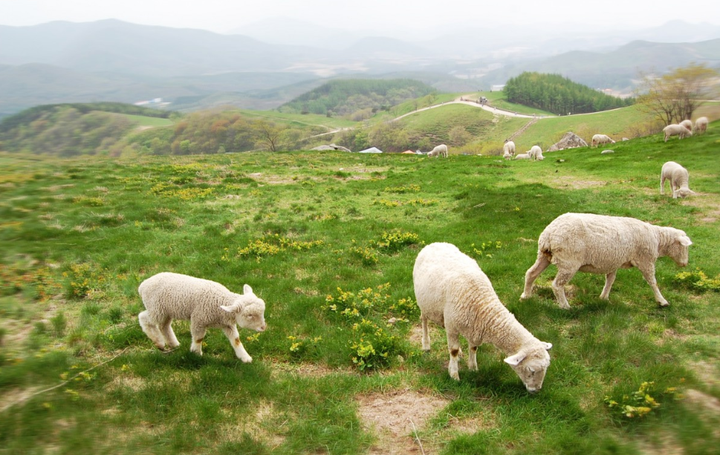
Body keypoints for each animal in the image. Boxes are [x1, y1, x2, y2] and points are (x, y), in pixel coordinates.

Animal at [138, 270, 268, 364]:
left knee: (164, 326)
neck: (220, 303)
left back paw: (173, 344)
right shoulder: (199, 319)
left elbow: (236, 340)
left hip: (166, 311)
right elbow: (198, 338)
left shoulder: (227, 325)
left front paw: (245, 357)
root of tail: (143, 285)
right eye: (250, 315)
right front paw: (196, 353)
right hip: (156, 308)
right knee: (144, 318)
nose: (263, 327)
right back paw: (159, 342)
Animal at [414, 244, 556, 394]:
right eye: (532, 370)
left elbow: (473, 348)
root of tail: (435, 243)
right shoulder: (452, 326)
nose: (536, 390)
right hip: (424, 303)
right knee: (424, 320)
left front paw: (473, 368)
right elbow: (453, 350)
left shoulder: (472, 327)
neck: (483, 304)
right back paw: (426, 345)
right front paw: (454, 375)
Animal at [524, 214, 692, 310]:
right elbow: (652, 282)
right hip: (569, 261)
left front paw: (604, 297)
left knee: (530, 273)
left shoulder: (614, 262)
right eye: (684, 247)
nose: (685, 264)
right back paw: (565, 307)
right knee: (557, 285)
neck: (658, 240)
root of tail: (549, 233)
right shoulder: (646, 260)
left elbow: (610, 280)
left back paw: (526, 296)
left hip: (544, 255)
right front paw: (662, 301)